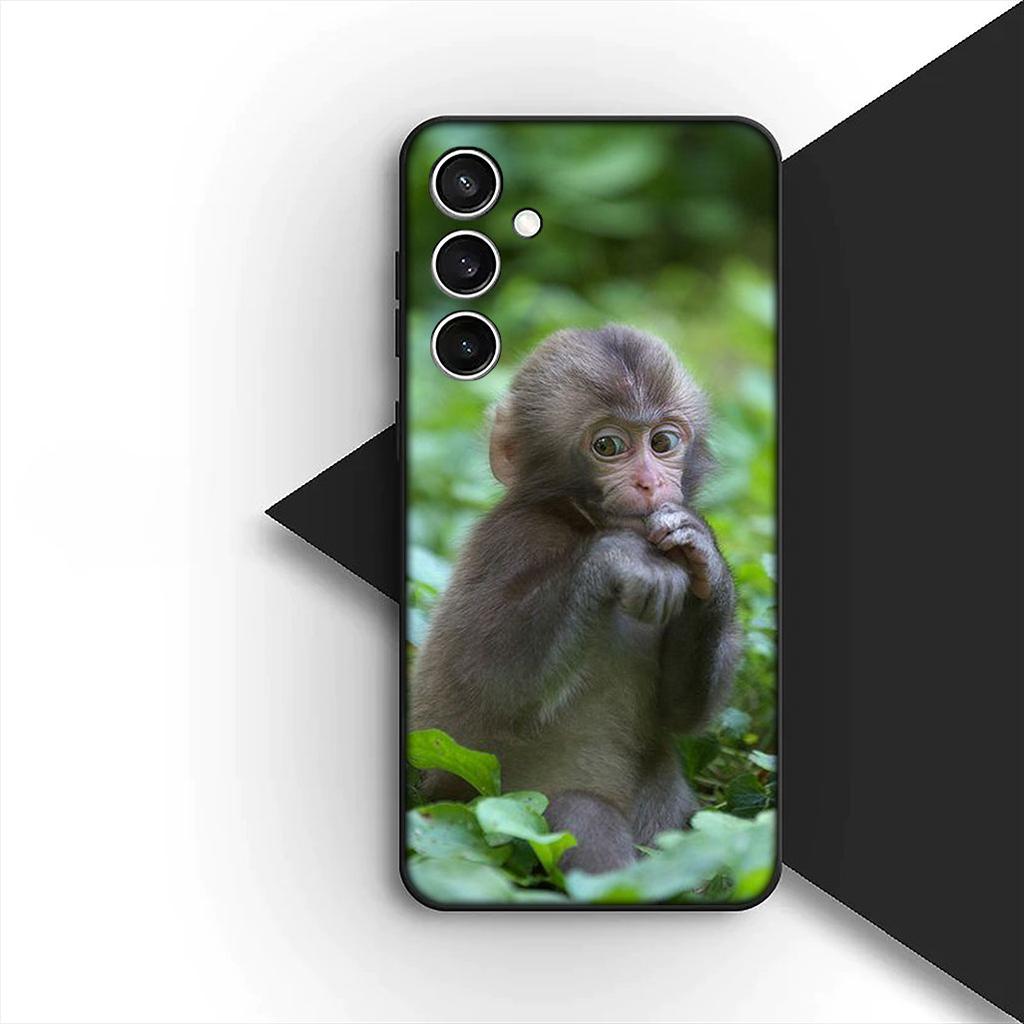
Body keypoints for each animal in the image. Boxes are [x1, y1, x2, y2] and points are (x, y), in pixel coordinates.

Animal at [410, 325, 740, 874]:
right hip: (491, 812)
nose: (650, 481)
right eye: (608, 445)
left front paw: (706, 559)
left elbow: (681, 713)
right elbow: (479, 690)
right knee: (578, 816)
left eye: (663, 442)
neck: (581, 520)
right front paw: (618, 558)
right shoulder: (512, 540)